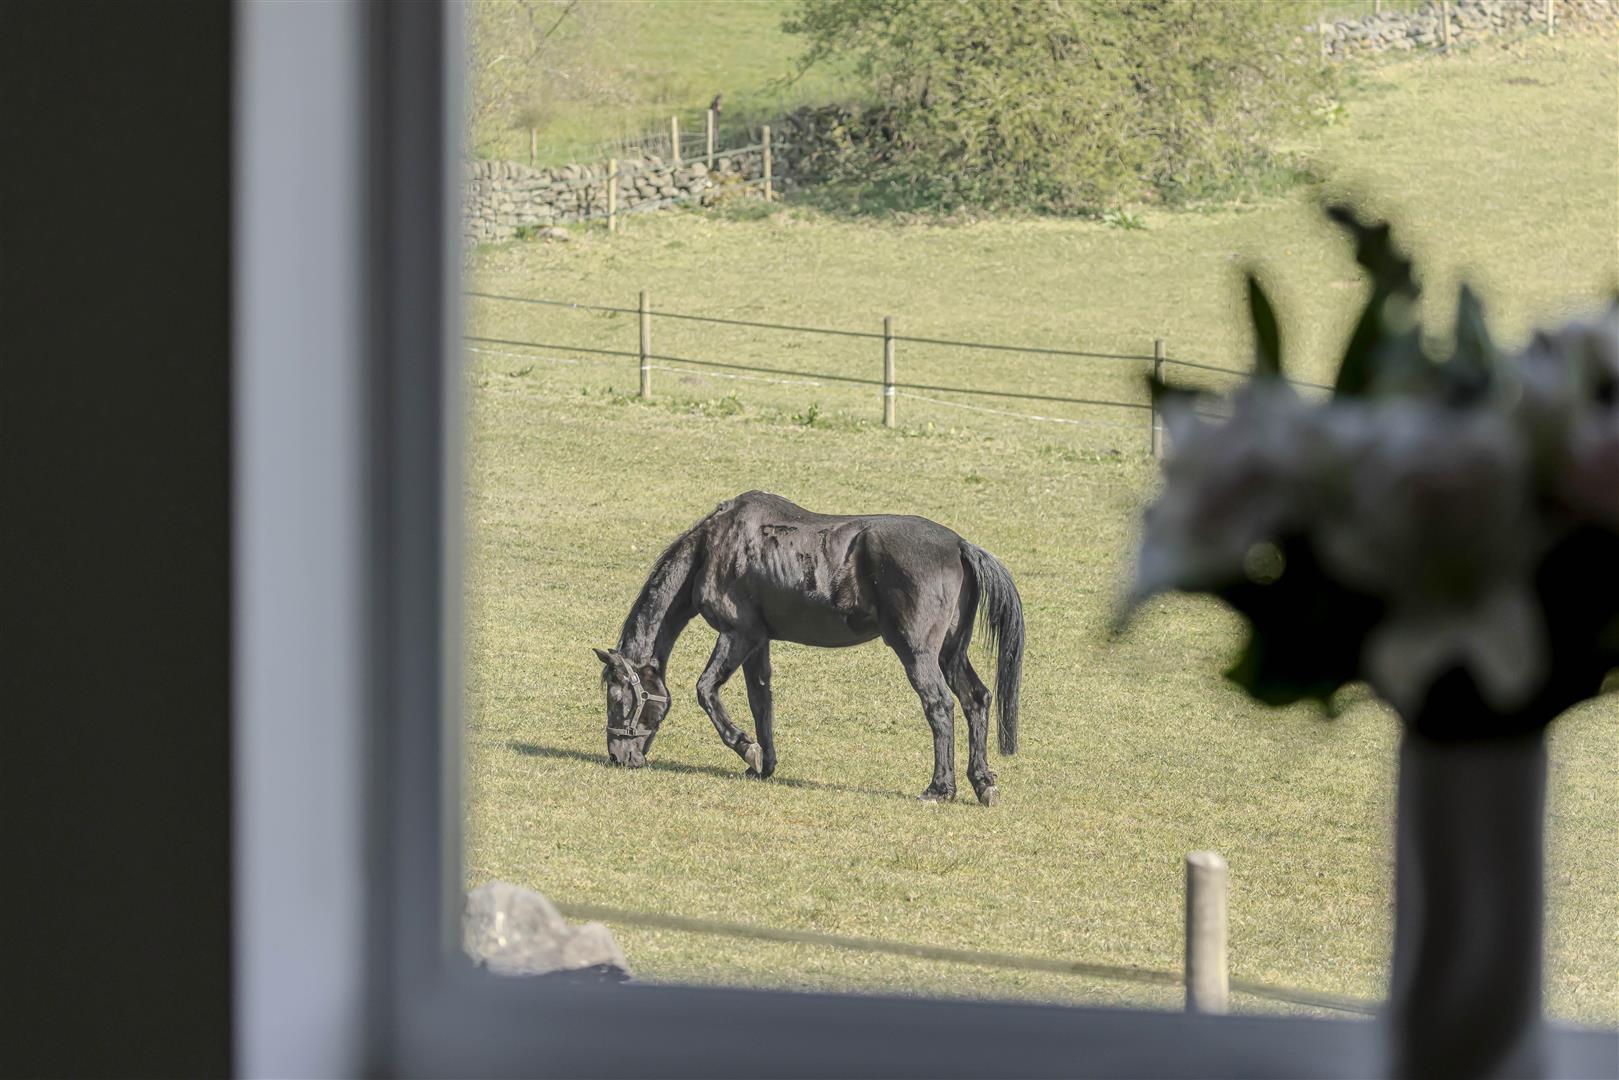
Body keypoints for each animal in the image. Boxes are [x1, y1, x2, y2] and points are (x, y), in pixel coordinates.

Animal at [593, 490, 1024, 805]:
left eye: (617, 697)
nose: (617, 756)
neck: (715, 548)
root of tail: (959, 545)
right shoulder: (758, 642)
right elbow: (761, 701)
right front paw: (763, 763)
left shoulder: (736, 635)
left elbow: (706, 690)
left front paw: (745, 747)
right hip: (951, 655)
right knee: (976, 700)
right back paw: (982, 783)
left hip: (918, 655)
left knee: (940, 707)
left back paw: (939, 789)